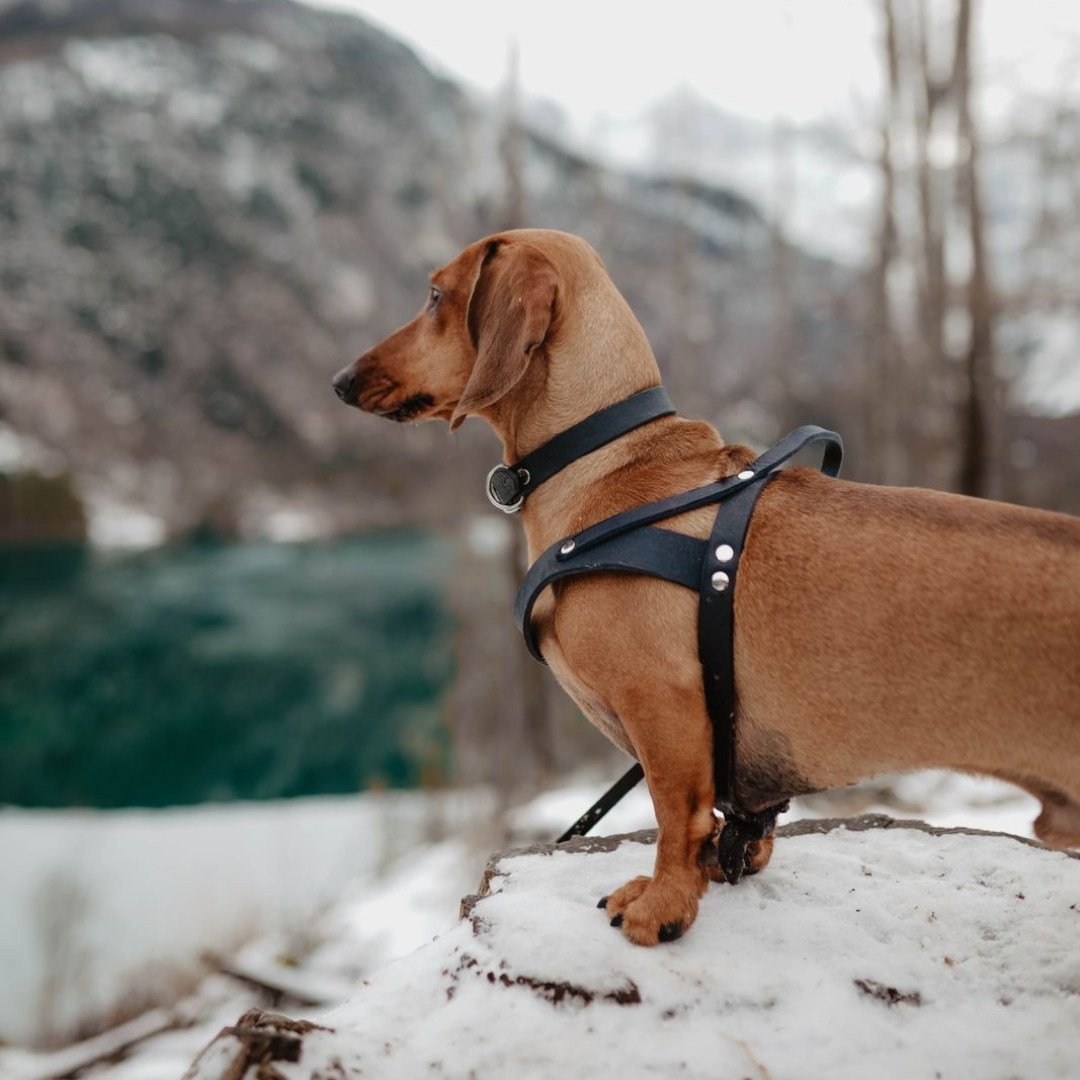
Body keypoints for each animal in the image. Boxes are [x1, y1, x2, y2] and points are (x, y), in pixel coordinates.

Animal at [330, 227, 1080, 946]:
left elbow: (676, 817)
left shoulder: (663, 703)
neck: (607, 463)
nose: (339, 380)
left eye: (435, 295)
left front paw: (663, 905)